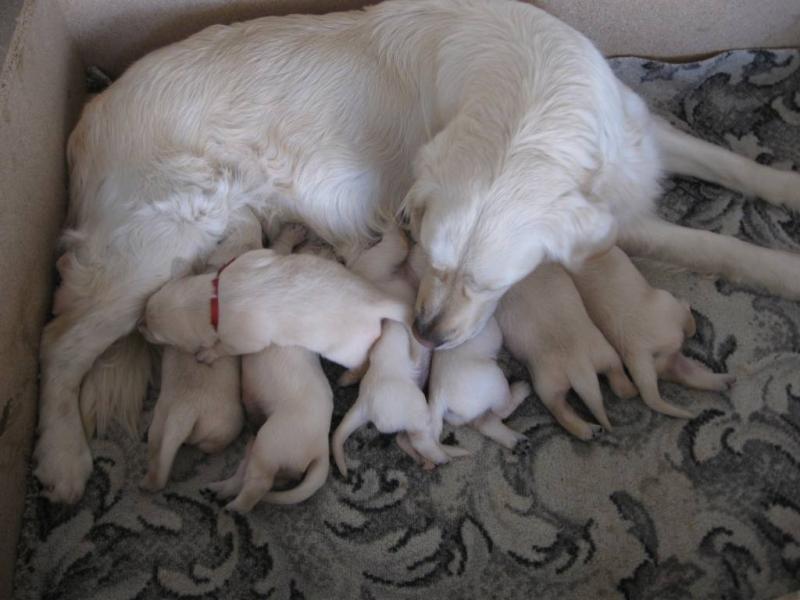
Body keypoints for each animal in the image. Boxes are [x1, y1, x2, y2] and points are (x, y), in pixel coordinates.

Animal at [140, 208, 263, 490]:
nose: (140, 325)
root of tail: (184, 413)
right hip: (226, 423)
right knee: (211, 443)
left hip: (159, 423)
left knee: (157, 456)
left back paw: (148, 476)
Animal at [428, 316, 531, 450]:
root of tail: (438, 394)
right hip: (496, 380)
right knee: (501, 411)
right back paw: (520, 390)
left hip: (459, 416)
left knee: (481, 422)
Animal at [496, 263, 637, 440]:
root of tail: (580, 367)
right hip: (605, 353)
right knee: (619, 384)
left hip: (547, 385)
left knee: (561, 412)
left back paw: (586, 431)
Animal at [570, 247, 736, 418]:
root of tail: (637, 352)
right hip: (669, 306)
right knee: (689, 329)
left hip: (663, 361)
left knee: (685, 375)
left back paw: (724, 382)